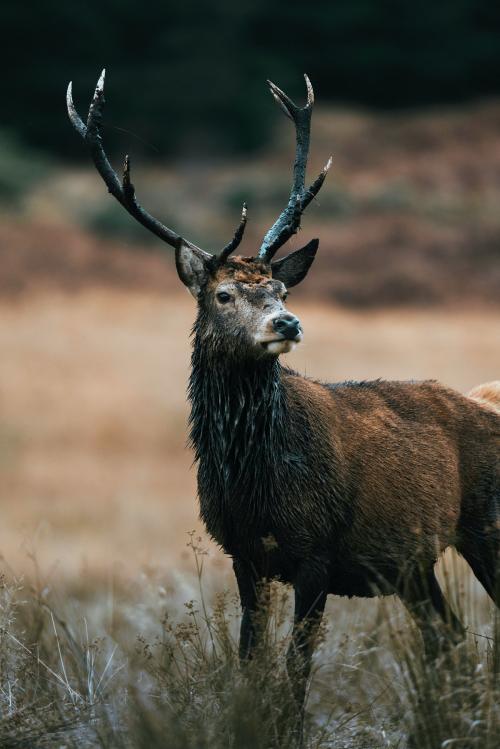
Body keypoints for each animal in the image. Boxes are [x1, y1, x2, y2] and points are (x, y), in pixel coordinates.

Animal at [67, 70, 500, 708]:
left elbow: (295, 679)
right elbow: (250, 666)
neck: (255, 482)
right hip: (414, 563)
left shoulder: (316, 552)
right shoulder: (244, 553)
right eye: (223, 294)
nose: (288, 324)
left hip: (485, 523)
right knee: (446, 636)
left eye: (281, 290)